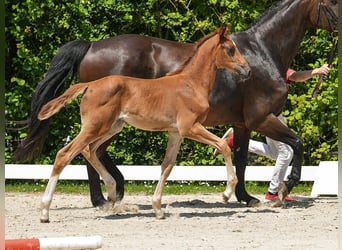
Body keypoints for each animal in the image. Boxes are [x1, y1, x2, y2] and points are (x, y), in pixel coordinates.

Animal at [38, 26, 250, 222]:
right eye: (230, 49)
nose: (247, 69)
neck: (191, 84)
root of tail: (89, 85)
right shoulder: (190, 127)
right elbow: (223, 146)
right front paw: (226, 194)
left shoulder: (176, 132)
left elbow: (167, 166)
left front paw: (158, 209)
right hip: (97, 127)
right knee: (65, 154)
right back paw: (45, 211)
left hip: (111, 127)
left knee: (89, 150)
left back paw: (112, 193)